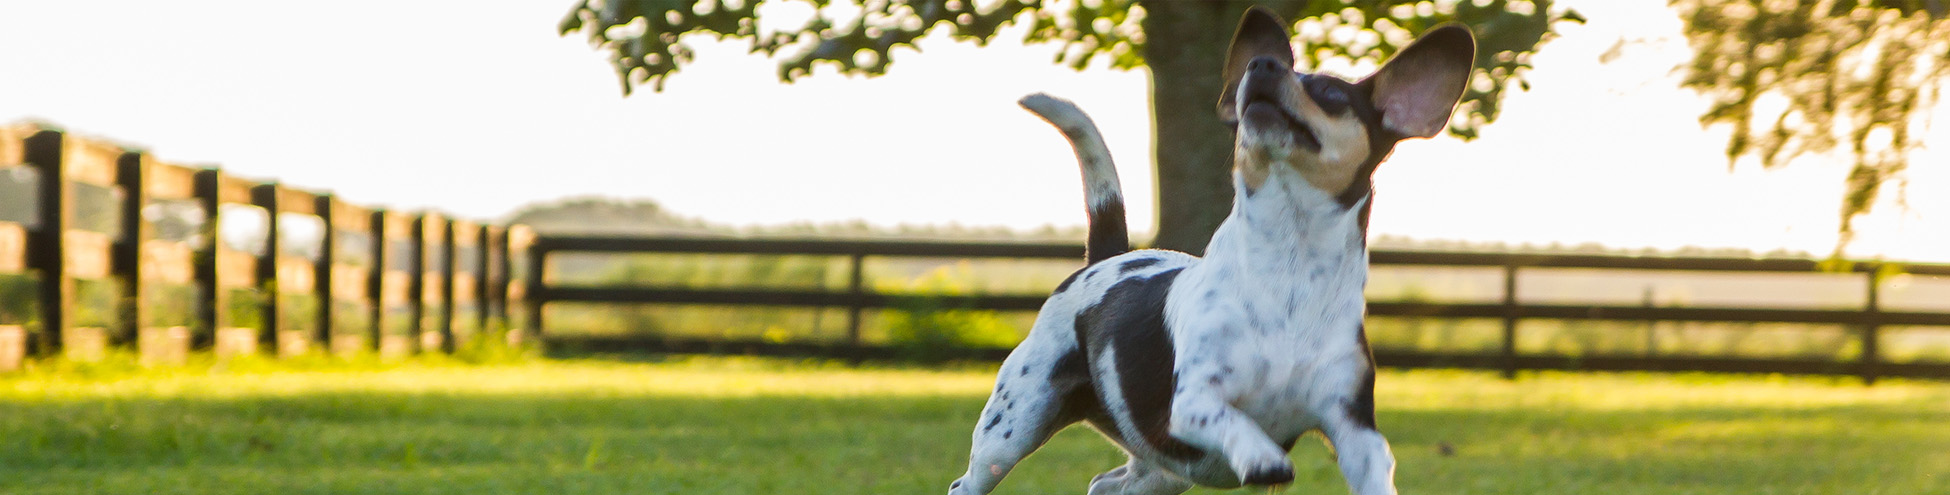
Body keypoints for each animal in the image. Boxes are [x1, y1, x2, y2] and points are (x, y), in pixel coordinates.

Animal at [947, 7, 1474, 495]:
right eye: (1259, 70)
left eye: (1332, 95)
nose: (1261, 65)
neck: (1290, 267)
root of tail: (1105, 258)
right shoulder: (1194, 401)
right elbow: (1233, 420)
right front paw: (1263, 457)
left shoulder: (1353, 425)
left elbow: (1372, 463)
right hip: (1014, 425)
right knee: (970, 480)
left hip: (1163, 468)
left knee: (1105, 483)